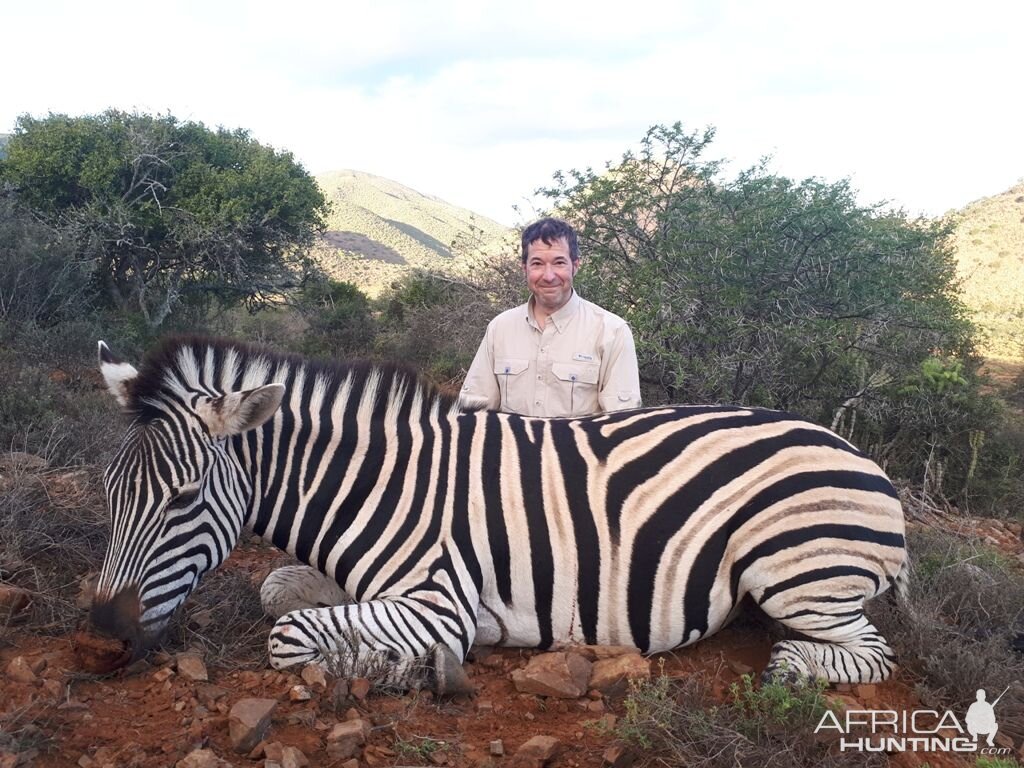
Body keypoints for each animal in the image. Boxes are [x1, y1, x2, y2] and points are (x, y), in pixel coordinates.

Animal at [88, 335, 905, 692]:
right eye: (110, 491)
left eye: (183, 498)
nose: (99, 641)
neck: (379, 483)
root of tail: (863, 459)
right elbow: (278, 592)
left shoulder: (439, 602)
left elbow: (290, 637)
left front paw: (406, 671)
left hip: (795, 569)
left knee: (867, 653)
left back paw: (793, 665)